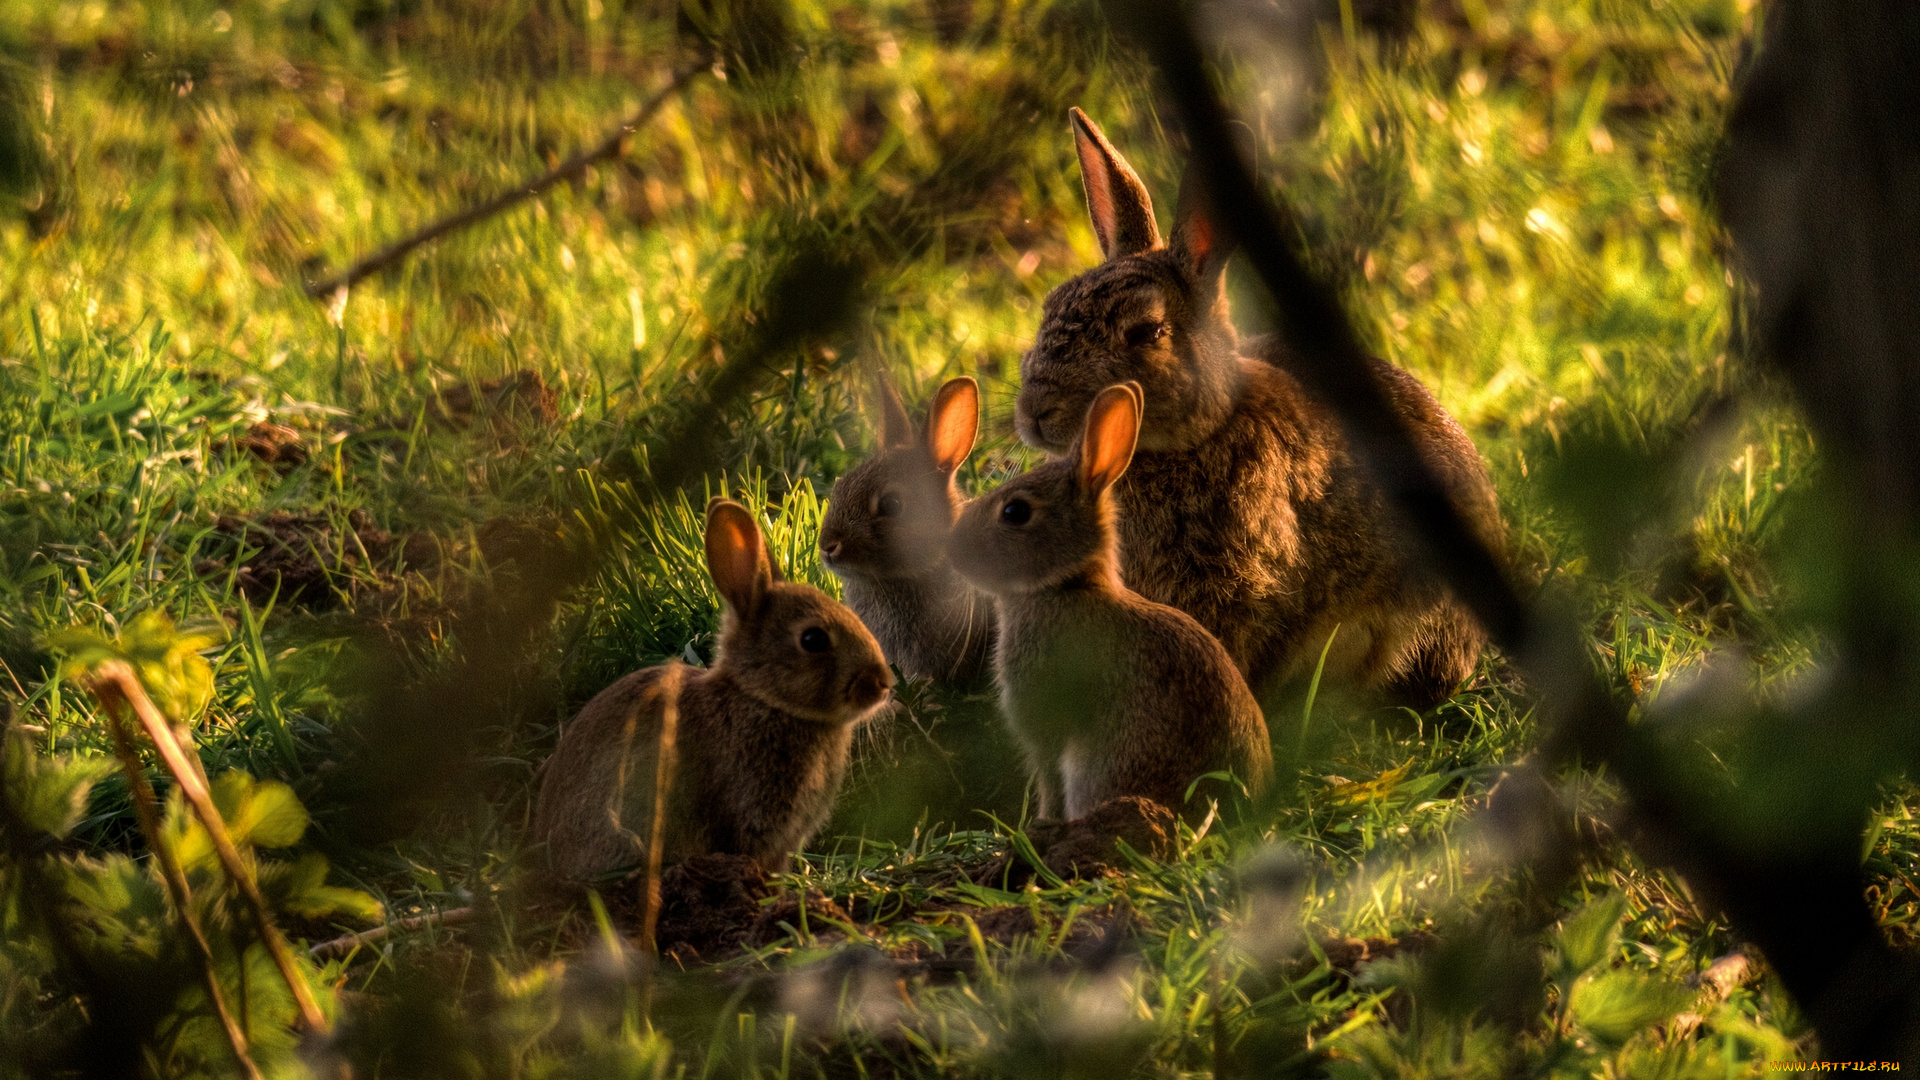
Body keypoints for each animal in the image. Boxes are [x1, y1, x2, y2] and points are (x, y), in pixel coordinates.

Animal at [948, 378, 1274, 814]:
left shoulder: (1045, 732)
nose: (951, 548)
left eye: (1015, 512)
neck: (1066, 584)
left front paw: (1041, 825)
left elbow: (1048, 784)